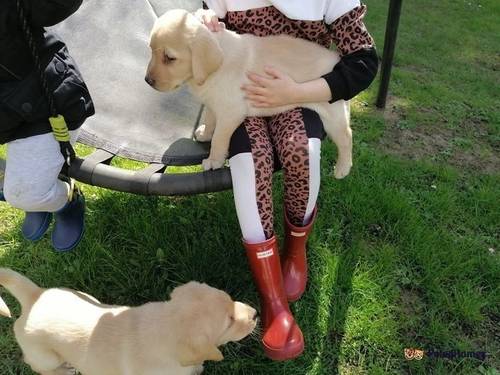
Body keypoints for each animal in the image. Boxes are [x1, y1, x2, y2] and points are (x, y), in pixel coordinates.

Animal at [0, 268, 258, 375]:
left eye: (231, 299)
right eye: (229, 322)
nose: (255, 313)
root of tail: (33, 296)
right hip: (45, 356)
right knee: (38, 366)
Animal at [146, 8, 354, 179]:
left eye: (170, 58)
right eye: (151, 50)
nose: (147, 80)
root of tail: (335, 58)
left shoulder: (230, 113)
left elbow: (219, 138)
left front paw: (214, 160)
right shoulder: (213, 102)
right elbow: (210, 119)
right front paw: (205, 133)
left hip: (332, 113)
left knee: (346, 136)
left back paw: (343, 168)